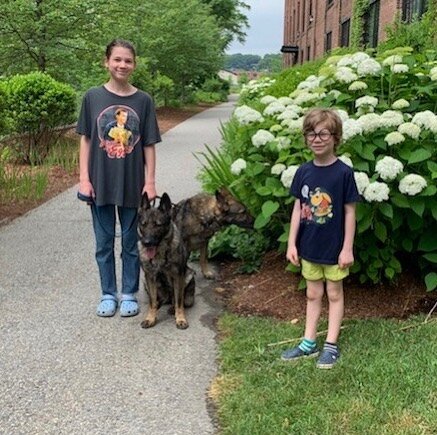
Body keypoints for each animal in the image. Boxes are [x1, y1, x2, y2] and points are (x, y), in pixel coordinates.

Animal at [138, 192, 194, 328]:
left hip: (188, 275)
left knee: (177, 299)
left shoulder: (178, 276)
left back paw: (173, 308)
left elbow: (179, 300)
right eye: (144, 224)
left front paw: (180, 318)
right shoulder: (150, 277)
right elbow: (152, 301)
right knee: (160, 299)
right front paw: (150, 318)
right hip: (146, 283)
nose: (146, 243)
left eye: (158, 225)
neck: (160, 253)